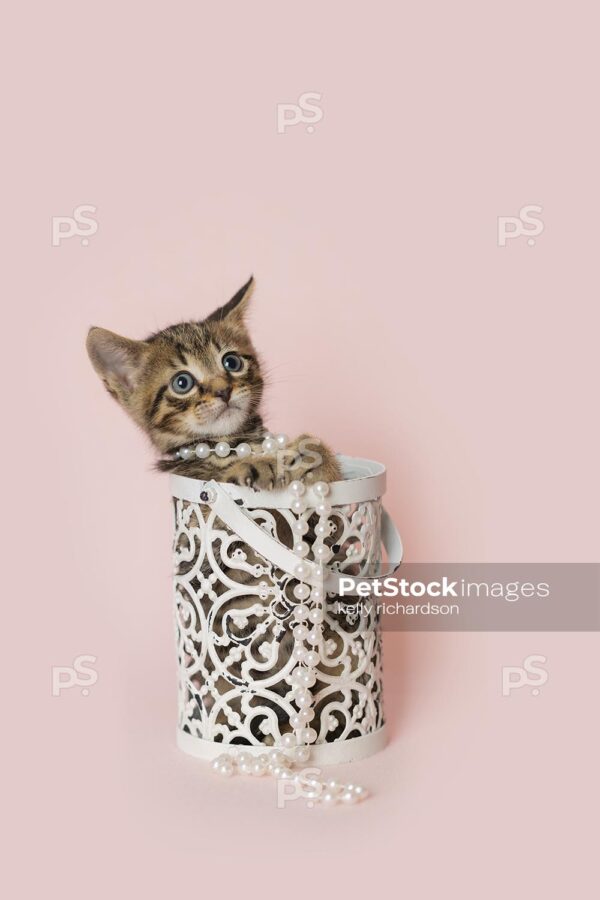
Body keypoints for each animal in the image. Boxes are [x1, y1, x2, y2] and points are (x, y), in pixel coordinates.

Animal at [85, 276, 340, 486]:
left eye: (232, 362)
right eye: (182, 383)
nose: (223, 390)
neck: (234, 442)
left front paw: (313, 453)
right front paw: (259, 464)